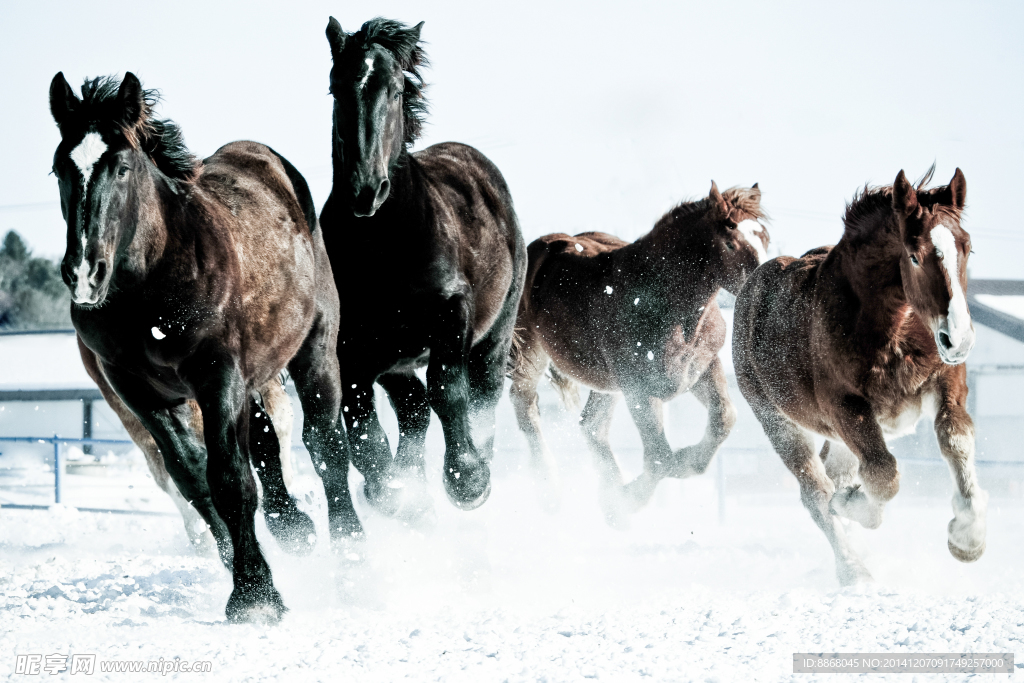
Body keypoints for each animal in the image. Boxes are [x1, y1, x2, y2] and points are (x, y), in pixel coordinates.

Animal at [321, 17, 526, 517]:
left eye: (395, 90)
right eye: (336, 87)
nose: (365, 190)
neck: (384, 248)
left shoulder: (451, 313)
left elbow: (447, 391)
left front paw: (468, 480)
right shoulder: (352, 351)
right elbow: (363, 426)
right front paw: (391, 490)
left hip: (493, 337)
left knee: (481, 395)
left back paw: (478, 462)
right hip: (395, 358)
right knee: (412, 407)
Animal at [509, 183, 770, 523]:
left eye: (764, 237)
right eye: (729, 242)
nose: (762, 288)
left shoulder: (701, 370)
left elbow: (724, 418)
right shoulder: (640, 390)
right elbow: (661, 457)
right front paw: (631, 499)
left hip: (607, 384)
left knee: (591, 426)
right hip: (530, 353)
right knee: (526, 407)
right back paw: (551, 492)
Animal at [732, 168, 985, 585]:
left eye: (967, 248)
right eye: (913, 256)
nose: (958, 339)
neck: (890, 330)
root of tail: (750, 289)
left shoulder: (945, 380)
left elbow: (955, 438)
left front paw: (968, 539)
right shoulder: (846, 407)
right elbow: (883, 475)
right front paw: (851, 503)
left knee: (836, 473)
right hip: (779, 422)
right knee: (817, 490)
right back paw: (853, 569)